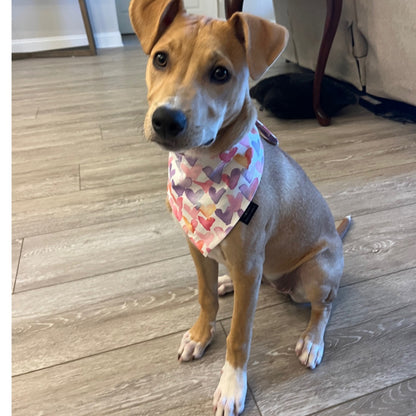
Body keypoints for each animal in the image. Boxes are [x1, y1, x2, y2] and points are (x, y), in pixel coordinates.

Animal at [129, 1, 352, 414]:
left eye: (220, 73)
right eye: (160, 58)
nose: (166, 120)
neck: (203, 169)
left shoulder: (249, 262)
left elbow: (239, 335)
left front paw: (233, 385)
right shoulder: (196, 245)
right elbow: (204, 297)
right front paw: (200, 335)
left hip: (316, 272)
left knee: (325, 305)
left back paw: (312, 341)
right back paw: (228, 282)